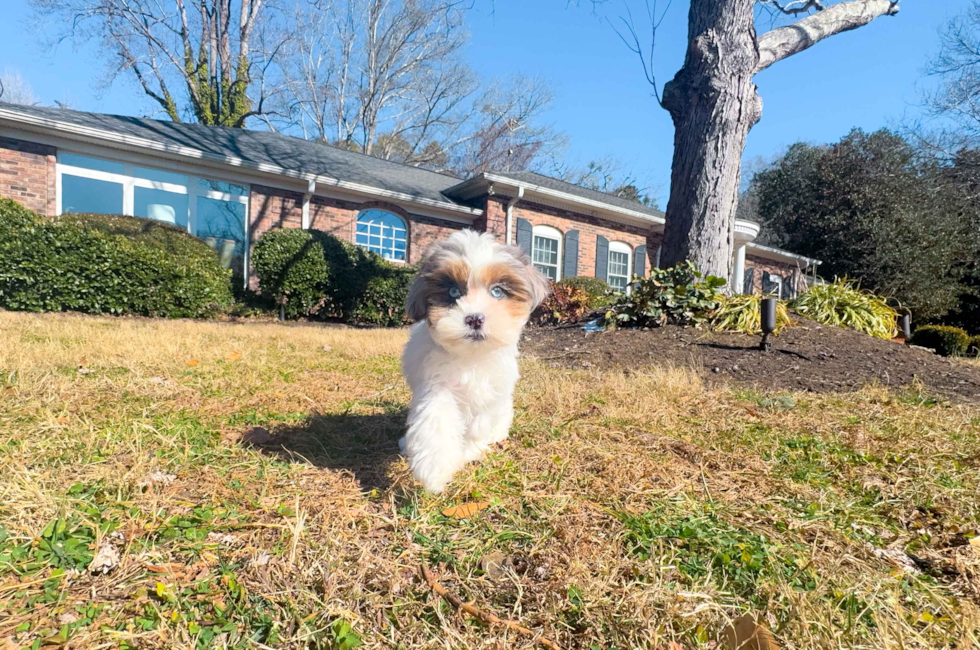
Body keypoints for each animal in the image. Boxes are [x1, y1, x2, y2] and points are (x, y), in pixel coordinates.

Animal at [400, 230, 552, 488]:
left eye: (497, 291)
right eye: (453, 292)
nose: (474, 318)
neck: (471, 356)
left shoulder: (490, 391)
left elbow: (478, 424)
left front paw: (468, 451)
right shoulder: (435, 381)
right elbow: (435, 416)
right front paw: (433, 467)